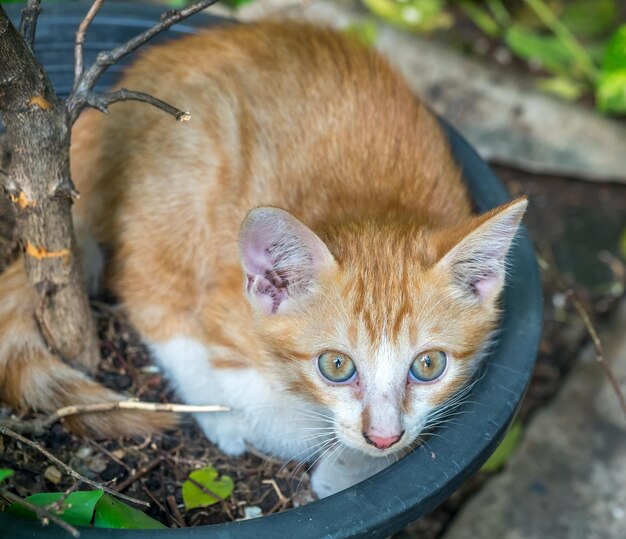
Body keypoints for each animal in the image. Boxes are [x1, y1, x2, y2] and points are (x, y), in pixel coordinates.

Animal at [0, 23, 528, 500]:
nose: (382, 436)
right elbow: (282, 420)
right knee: (150, 296)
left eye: (429, 365)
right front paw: (332, 458)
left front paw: (354, 464)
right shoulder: (229, 313)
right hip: (183, 178)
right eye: (336, 366)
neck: (371, 207)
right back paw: (219, 418)